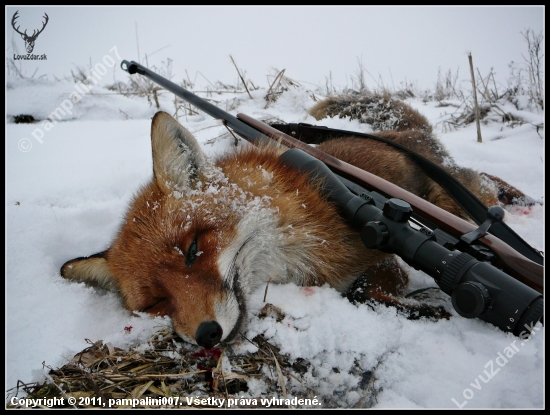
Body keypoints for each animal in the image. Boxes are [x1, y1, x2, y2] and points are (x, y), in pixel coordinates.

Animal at [60, 109, 532, 348]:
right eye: (158, 301)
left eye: (193, 249)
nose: (207, 335)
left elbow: (374, 281)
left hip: (448, 196)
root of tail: (411, 133)